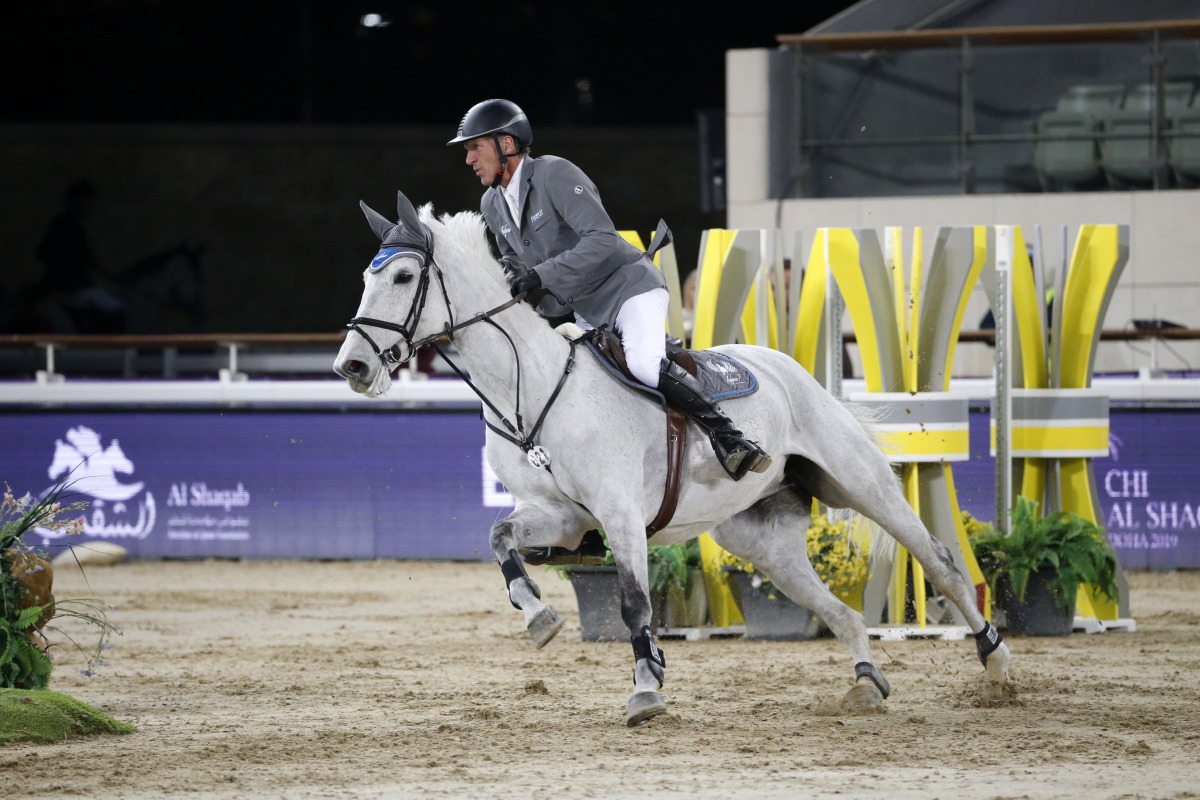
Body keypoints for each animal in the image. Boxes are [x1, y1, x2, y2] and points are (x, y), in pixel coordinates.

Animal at [331, 190, 1012, 729]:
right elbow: (501, 539)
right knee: (837, 609)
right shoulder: (561, 517)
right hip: (760, 541)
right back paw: (867, 681)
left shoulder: (619, 515)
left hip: (862, 487)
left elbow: (635, 602)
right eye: (365, 277)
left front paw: (645, 692)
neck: (529, 387)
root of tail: (790, 369)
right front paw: (539, 617)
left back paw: (998, 664)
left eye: (401, 278)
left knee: (942, 563)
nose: (353, 367)